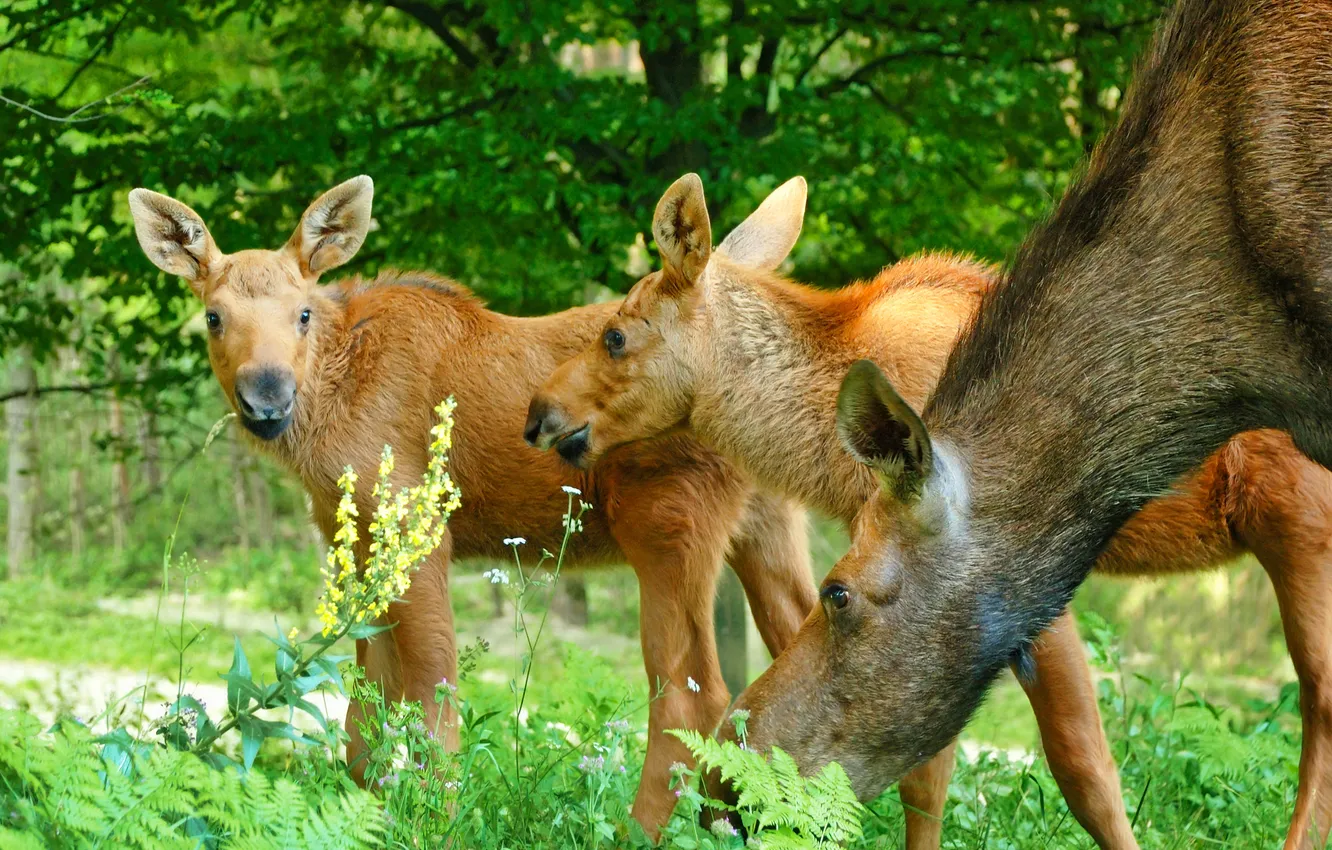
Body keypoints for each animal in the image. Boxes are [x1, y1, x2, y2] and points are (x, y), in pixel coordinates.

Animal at [127, 175, 809, 842]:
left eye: (301, 313)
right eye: (213, 316)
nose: (266, 396)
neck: (331, 401)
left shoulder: (418, 523)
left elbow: (432, 692)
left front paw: (436, 821)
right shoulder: (359, 537)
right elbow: (365, 715)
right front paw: (370, 814)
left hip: (667, 522)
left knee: (693, 696)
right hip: (767, 525)